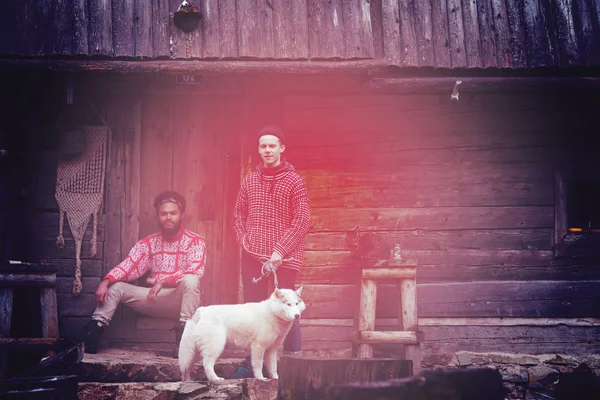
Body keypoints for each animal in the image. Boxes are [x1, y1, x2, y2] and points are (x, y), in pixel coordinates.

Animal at [179, 288, 308, 382]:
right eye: (288, 304)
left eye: (297, 303)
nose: (297, 316)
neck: (272, 312)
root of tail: (199, 311)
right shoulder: (258, 347)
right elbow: (258, 365)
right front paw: (261, 378)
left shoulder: (271, 350)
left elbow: (273, 367)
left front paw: (276, 379)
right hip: (215, 347)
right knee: (207, 364)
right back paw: (215, 379)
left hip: (193, 352)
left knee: (186, 368)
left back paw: (188, 382)